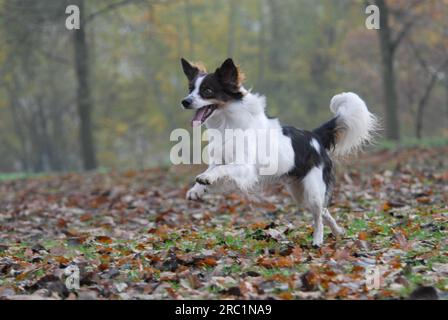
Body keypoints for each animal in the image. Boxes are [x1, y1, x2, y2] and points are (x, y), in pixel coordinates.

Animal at [180, 58, 376, 248]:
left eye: (207, 90)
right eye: (190, 89)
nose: (185, 101)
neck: (227, 122)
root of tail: (314, 136)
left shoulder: (245, 168)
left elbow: (219, 170)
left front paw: (206, 179)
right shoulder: (220, 159)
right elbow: (212, 169)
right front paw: (197, 189)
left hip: (312, 189)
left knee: (318, 216)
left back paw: (318, 240)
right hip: (300, 193)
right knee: (323, 210)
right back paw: (337, 231)